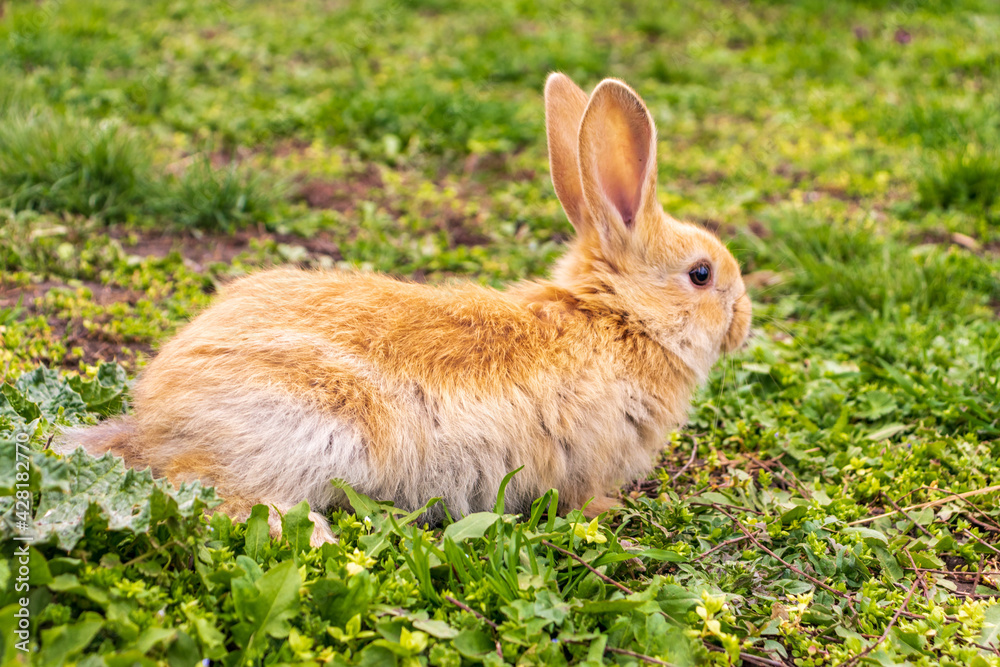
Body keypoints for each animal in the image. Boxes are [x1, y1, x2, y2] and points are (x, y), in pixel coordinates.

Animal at [57, 74, 752, 546]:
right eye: (701, 275)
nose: (743, 321)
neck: (615, 320)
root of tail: (154, 420)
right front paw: (610, 512)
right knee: (209, 490)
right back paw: (309, 534)